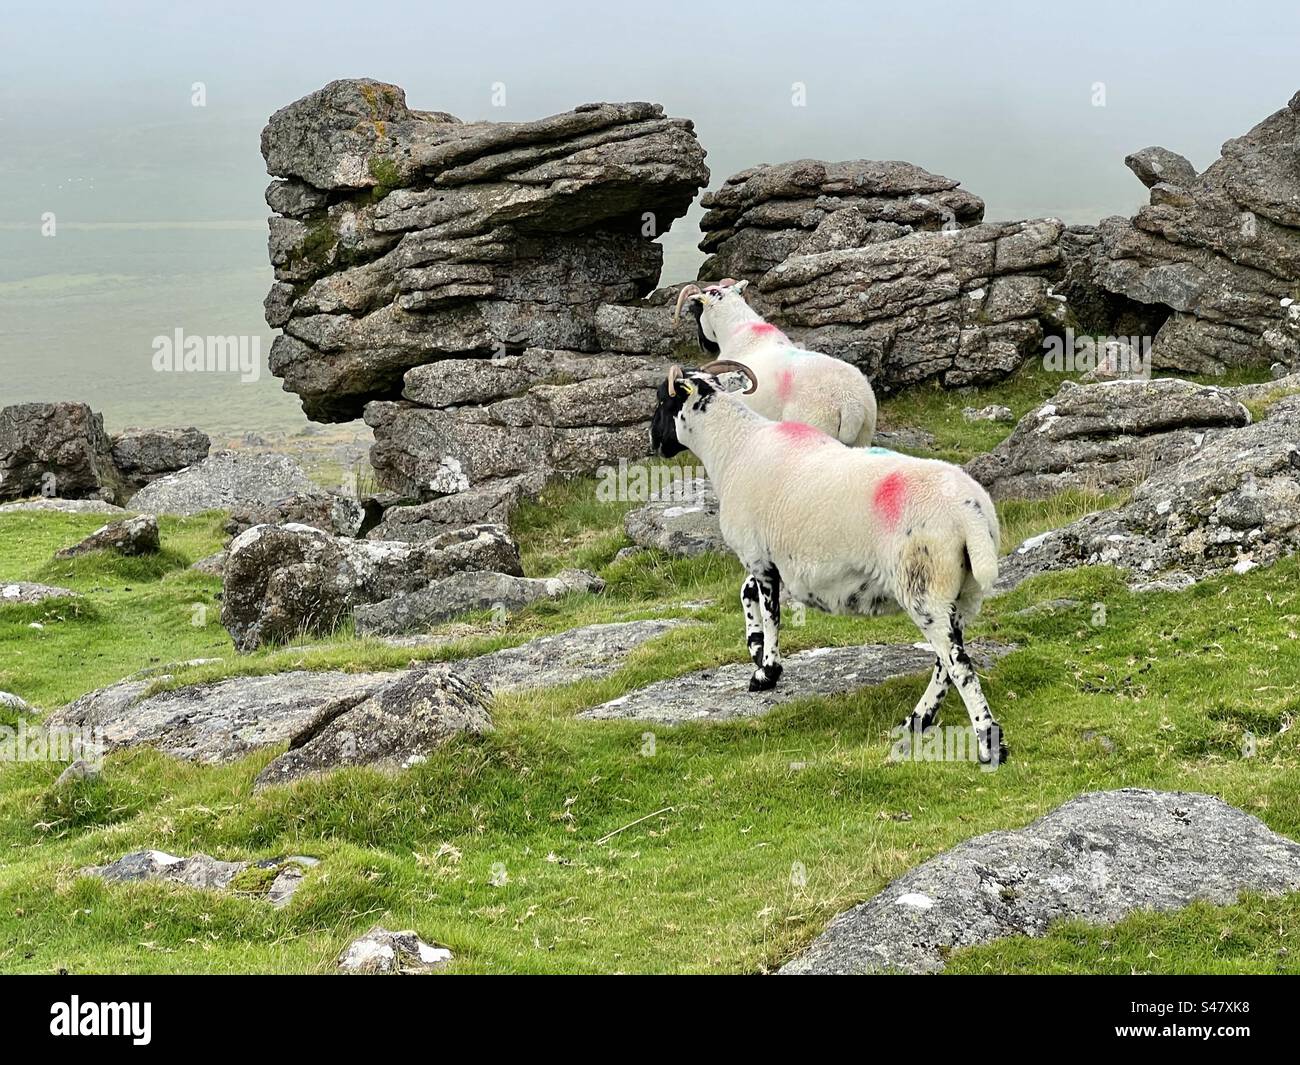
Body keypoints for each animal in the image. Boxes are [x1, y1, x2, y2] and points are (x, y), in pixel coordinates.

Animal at [650, 361, 1003, 764]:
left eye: (661, 400)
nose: (654, 443)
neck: (734, 447)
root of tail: (971, 512)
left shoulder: (759, 555)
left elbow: (770, 612)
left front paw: (766, 672)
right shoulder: (766, 558)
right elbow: (746, 594)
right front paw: (755, 648)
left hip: (925, 587)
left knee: (959, 665)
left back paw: (987, 743)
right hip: (961, 592)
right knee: (946, 662)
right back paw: (917, 720)